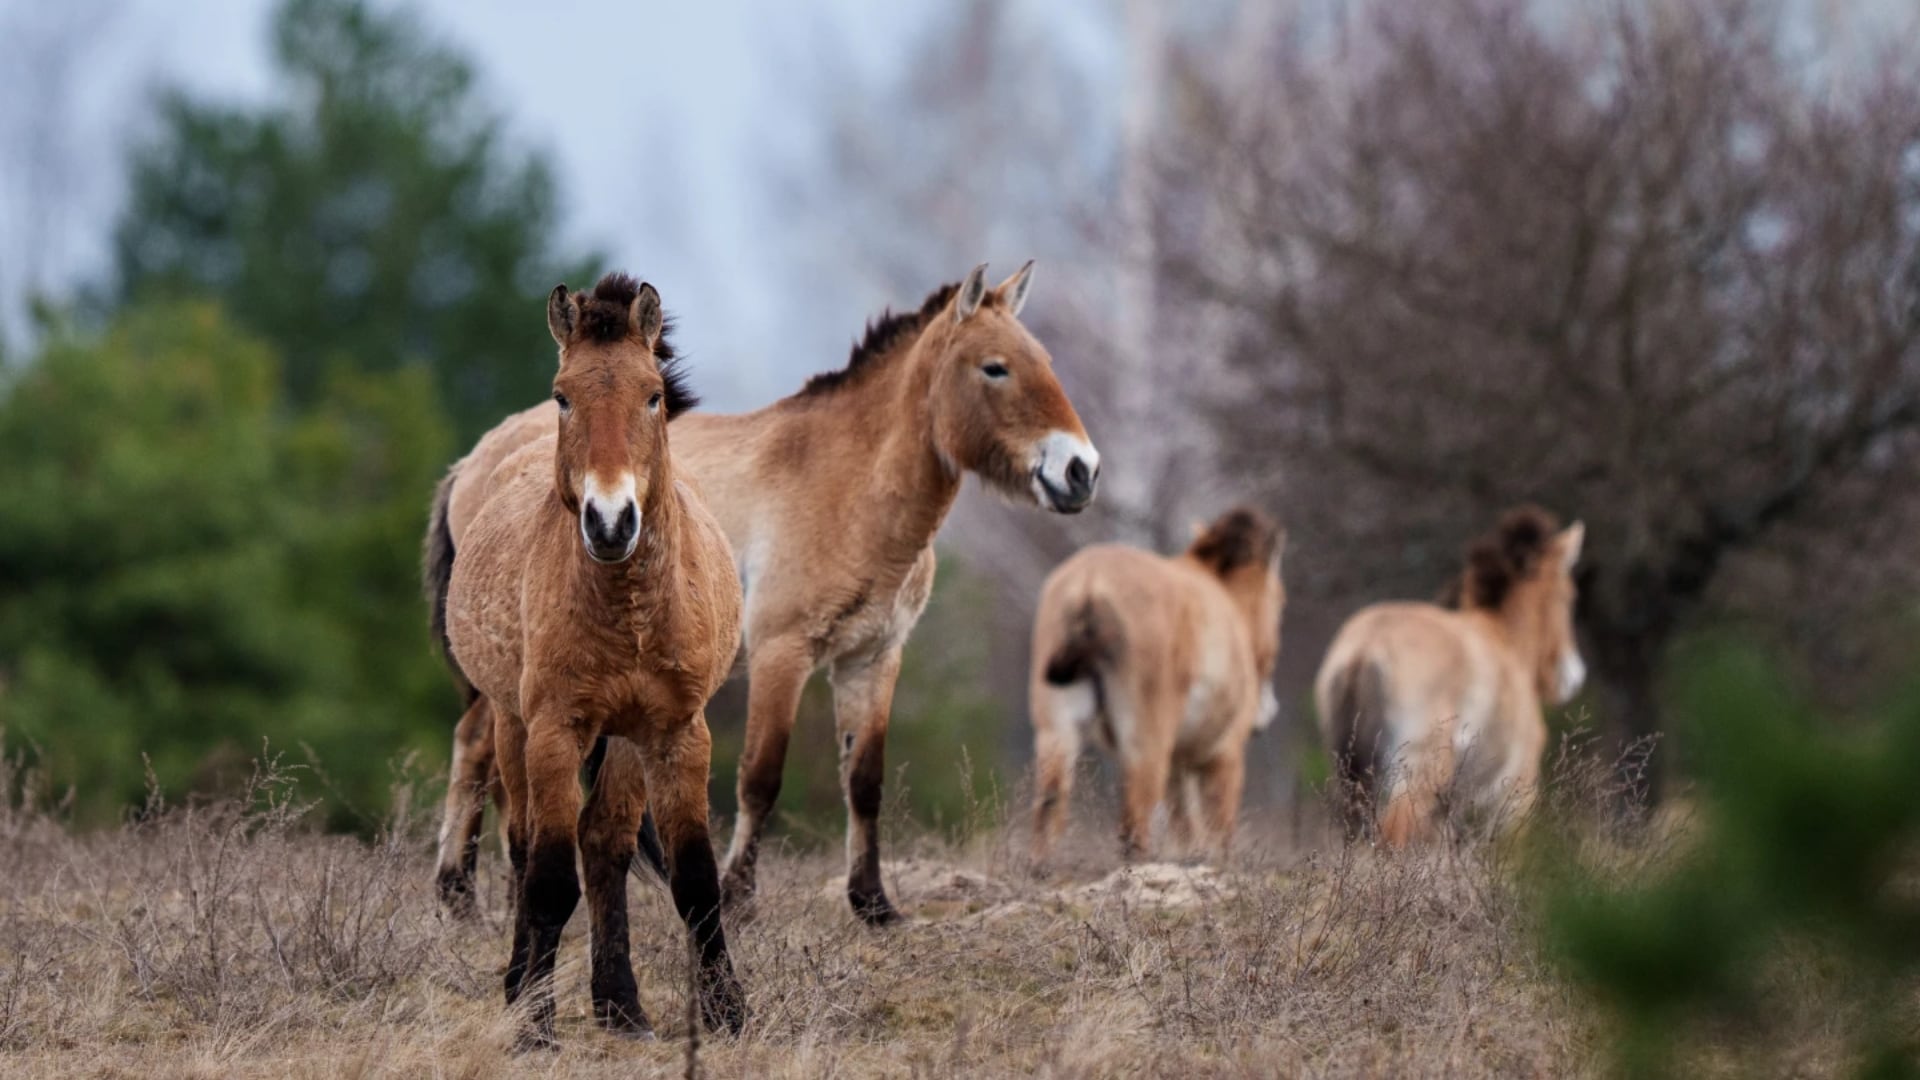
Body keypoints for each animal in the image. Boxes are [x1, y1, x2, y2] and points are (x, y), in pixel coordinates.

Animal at [429, 261, 1100, 925]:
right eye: (995, 367)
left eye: (1041, 359)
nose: (1081, 471)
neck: (844, 485)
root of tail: (474, 459)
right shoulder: (783, 652)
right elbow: (761, 776)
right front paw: (738, 896)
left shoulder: (872, 657)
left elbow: (865, 780)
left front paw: (873, 903)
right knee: (478, 747)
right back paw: (462, 898)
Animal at [440, 273, 745, 1047]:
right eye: (563, 396)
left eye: (653, 395)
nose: (611, 521)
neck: (628, 608)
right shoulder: (556, 729)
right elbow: (549, 877)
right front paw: (534, 1022)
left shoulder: (676, 732)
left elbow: (695, 879)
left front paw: (729, 1012)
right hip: (514, 725)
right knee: (525, 844)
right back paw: (523, 987)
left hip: (625, 742)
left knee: (604, 842)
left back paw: (622, 1006)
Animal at [1029, 507, 1286, 864]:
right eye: (1281, 601)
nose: (1269, 709)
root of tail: (1089, 584)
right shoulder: (1225, 752)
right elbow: (1218, 828)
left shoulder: (1179, 763)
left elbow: (1185, 824)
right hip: (1146, 744)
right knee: (1134, 823)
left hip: (1056, 732)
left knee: (1049, 803)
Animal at [1313, 506, 1585, 846]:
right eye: (1568, 596)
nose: (1571, 675)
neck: (1504, 639)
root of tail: (1365, 648)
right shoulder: (1515, 795)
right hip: (1414, 775)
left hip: (1353, 776)